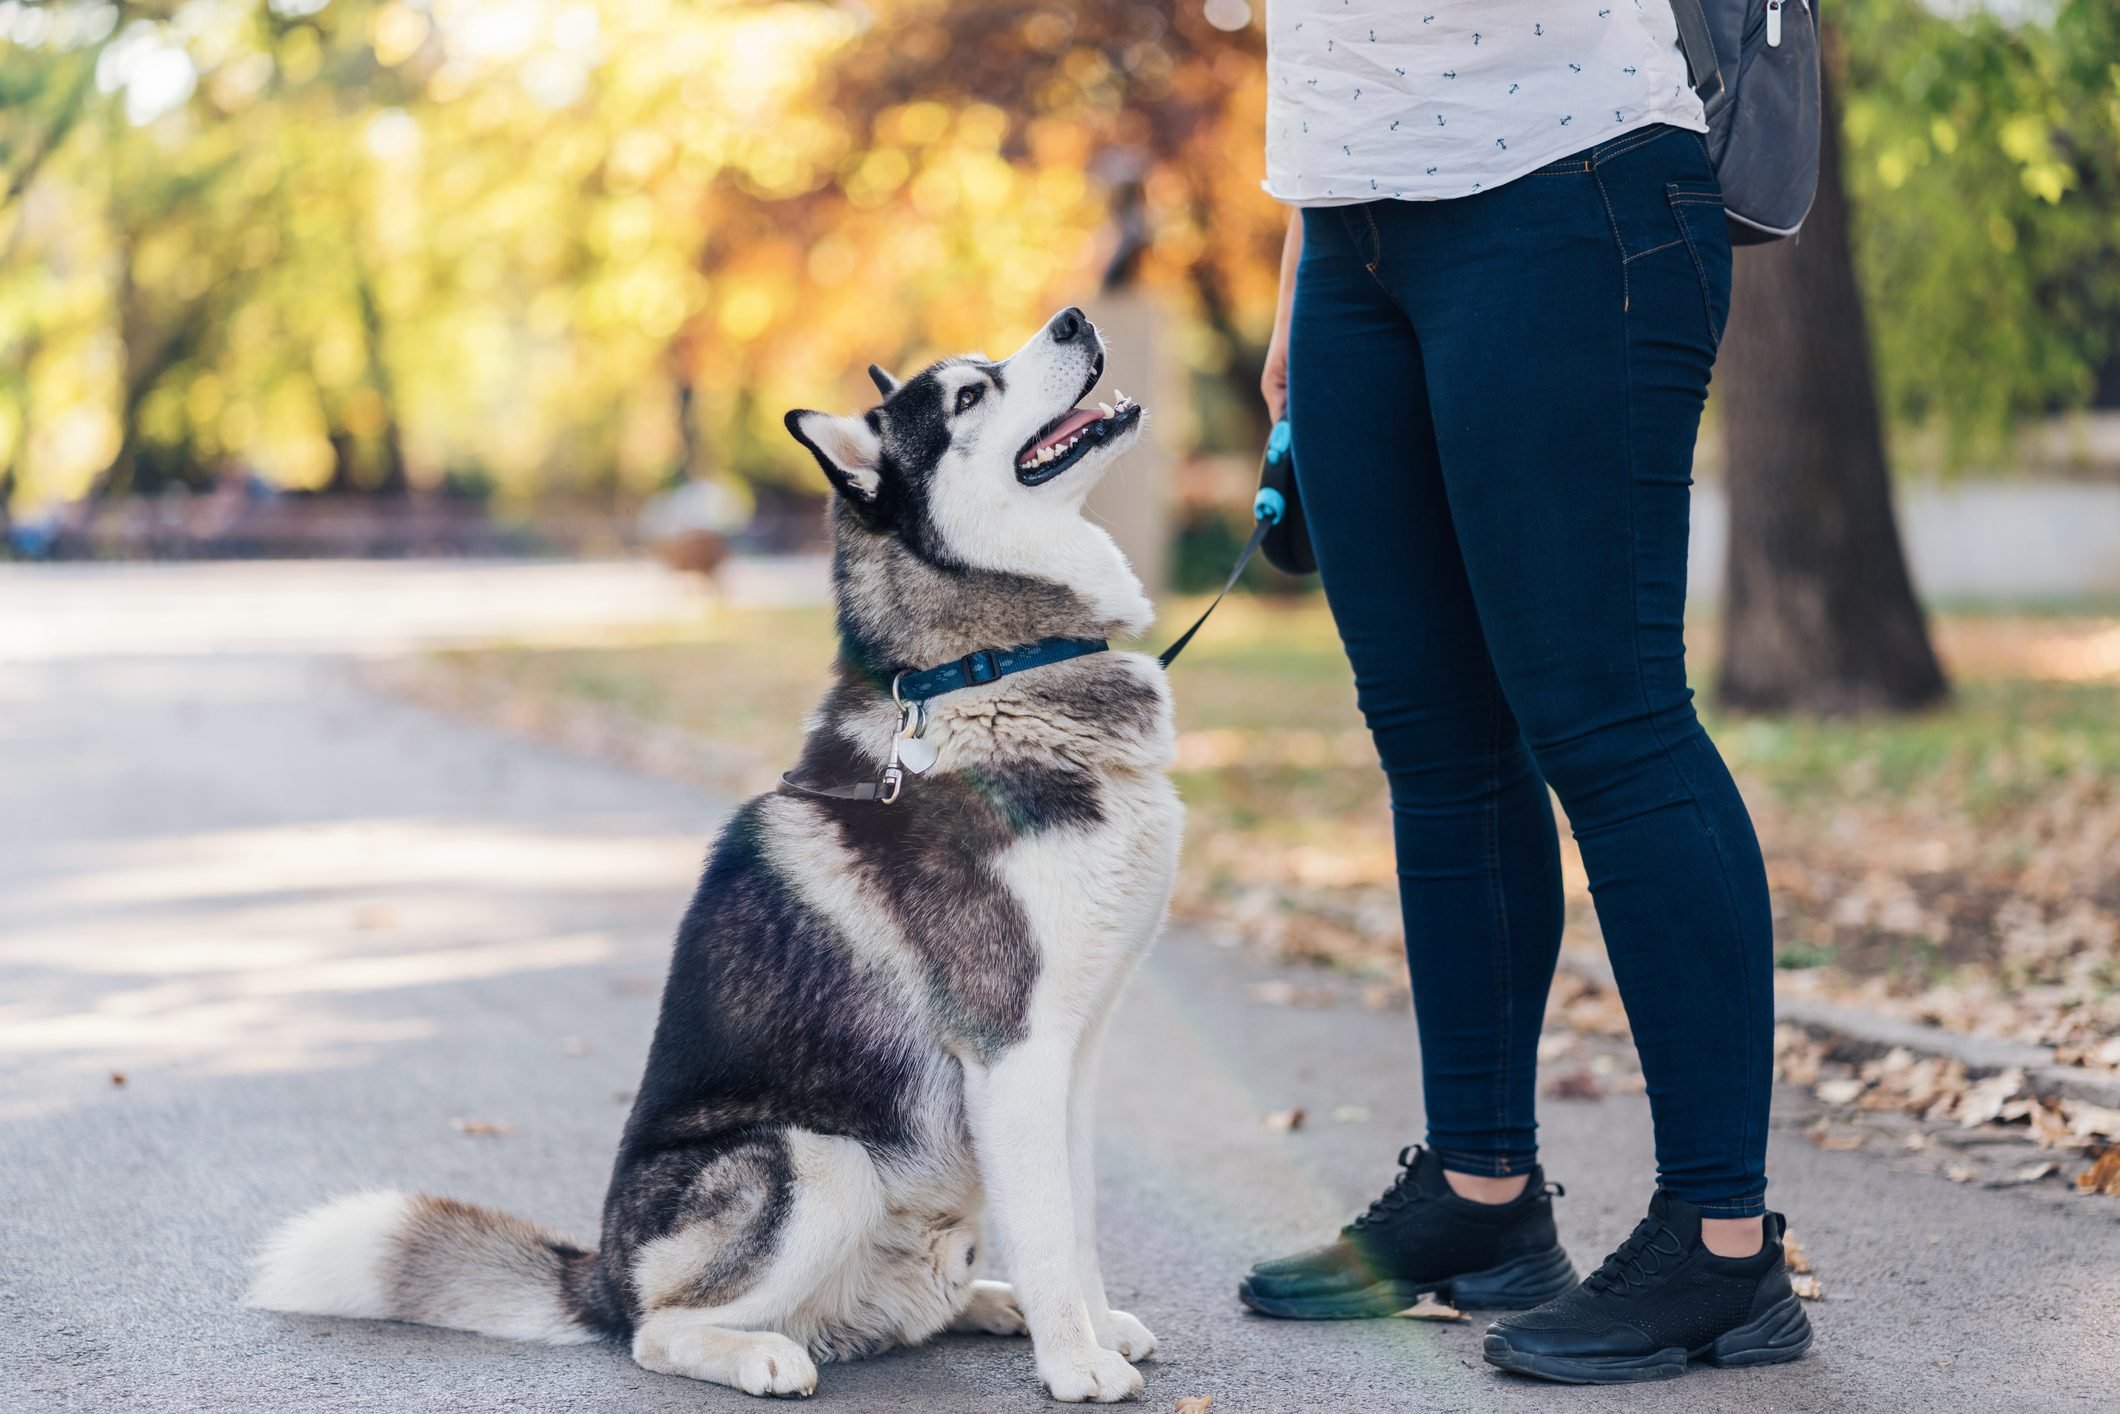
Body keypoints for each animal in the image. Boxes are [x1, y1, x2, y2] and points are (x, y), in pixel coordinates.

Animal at [252, 309, 1178, 1407]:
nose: (1076, 316)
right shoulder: (1011, 1050)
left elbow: (1074, 1224)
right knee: (659, 1330)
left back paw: (983, 1305)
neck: (982, 672)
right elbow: (1047, 1230)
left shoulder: (1070, 1053)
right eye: (967, 395)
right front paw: (1074, 1364)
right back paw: (762, 1352)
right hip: (817, 1159)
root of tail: (602, 1275)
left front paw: (1090, 1328)